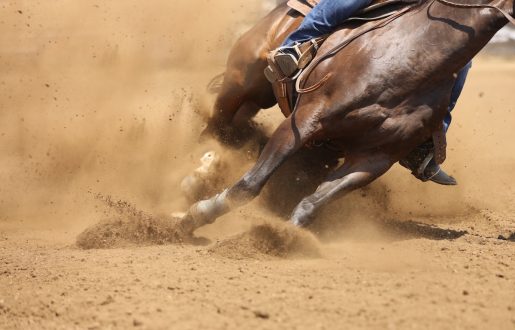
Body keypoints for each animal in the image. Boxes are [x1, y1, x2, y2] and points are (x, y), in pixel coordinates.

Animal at [179, 0, 512, 232]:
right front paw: (196, 216)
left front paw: (285, 236)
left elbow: (313, 203)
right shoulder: (305, 121)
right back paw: (195, 175)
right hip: (240, 86)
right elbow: (251, 184)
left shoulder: (374, 158)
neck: (413, 56)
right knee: (217, 130)